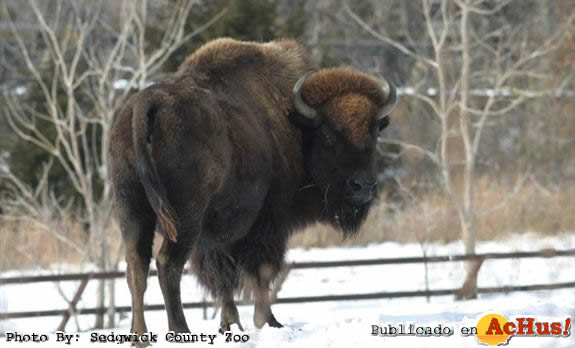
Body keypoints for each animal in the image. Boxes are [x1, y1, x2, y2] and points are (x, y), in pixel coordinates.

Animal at [109, 38, 396, 338]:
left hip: (132, 211)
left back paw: (139, 336)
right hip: (185, 218)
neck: (296, 125)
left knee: (136, 267)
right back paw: (180, 331)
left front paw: (230, 324)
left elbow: (223, 279)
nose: (363, 186)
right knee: (167, 264)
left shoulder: (217, 236)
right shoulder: (268, 224)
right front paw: (268, 321)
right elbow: (262, 272)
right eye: (329, 135)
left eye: (376, 132)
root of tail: (146, 104)